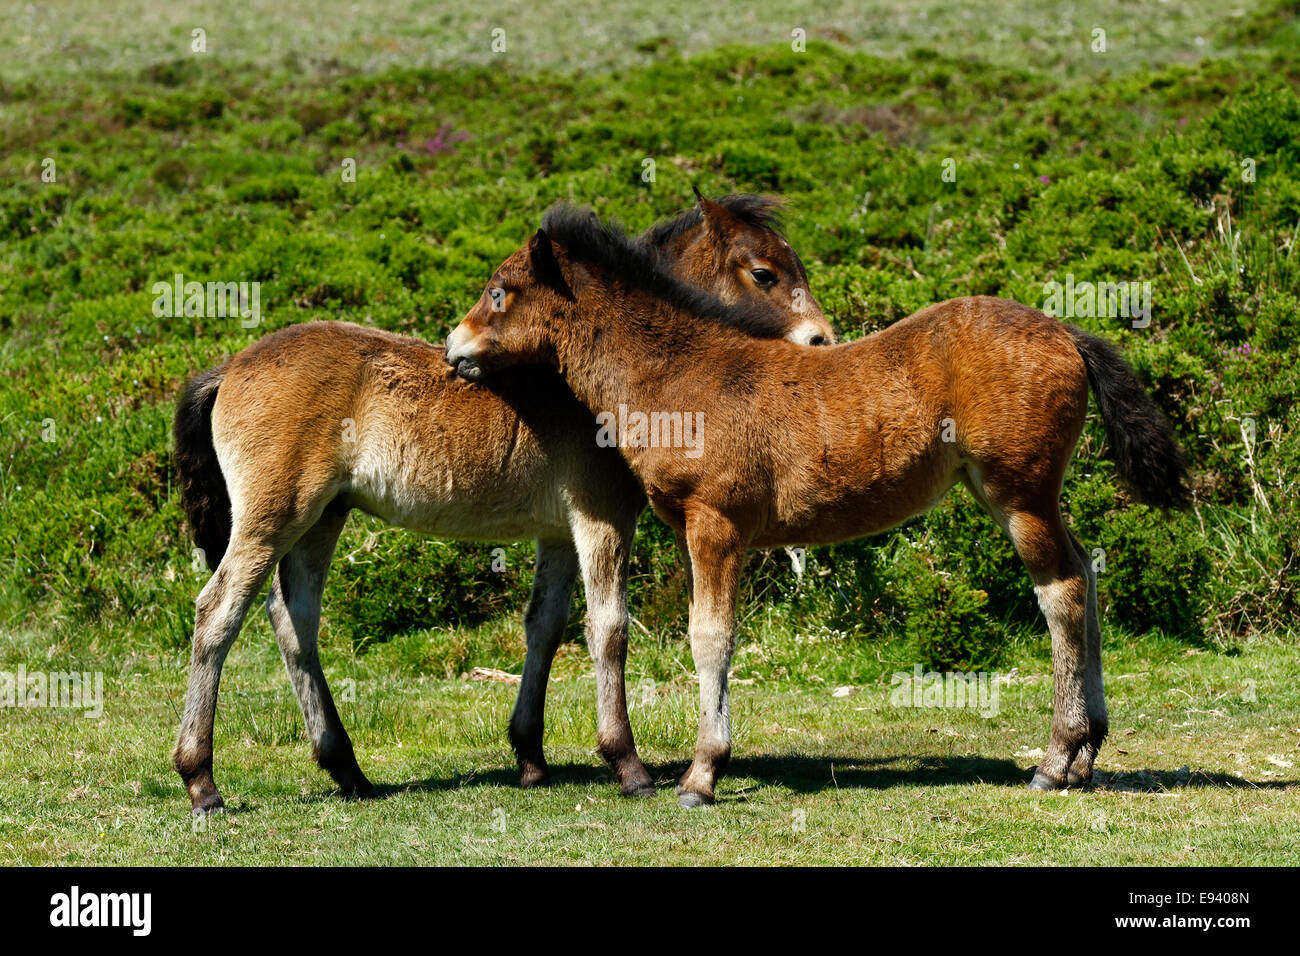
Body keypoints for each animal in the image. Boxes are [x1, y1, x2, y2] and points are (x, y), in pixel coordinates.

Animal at [170, 195, 832, 816]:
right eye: (764, 272)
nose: (822, 340)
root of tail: (230, 367)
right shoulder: (602, 517)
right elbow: (609, 630)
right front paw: (628, 765)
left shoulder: (559, 531)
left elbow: (545, 625)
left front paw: (531, 758)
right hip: (275, 515)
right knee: (218, 611)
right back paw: (202, 780)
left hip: (323, 518)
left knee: (294, 619)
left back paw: (348, 770)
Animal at [444, 208, 1190, 806]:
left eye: (499, 292)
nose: (453, 348)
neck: (680, 376)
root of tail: (1068, 333)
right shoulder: (696, 529)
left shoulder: (716, 524)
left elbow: (710, 637)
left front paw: (702, 775)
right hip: (1021, 493)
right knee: (1085, 572)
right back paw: (1087, 755)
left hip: (1018, 491)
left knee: (1061, 589)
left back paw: (1056, 759)